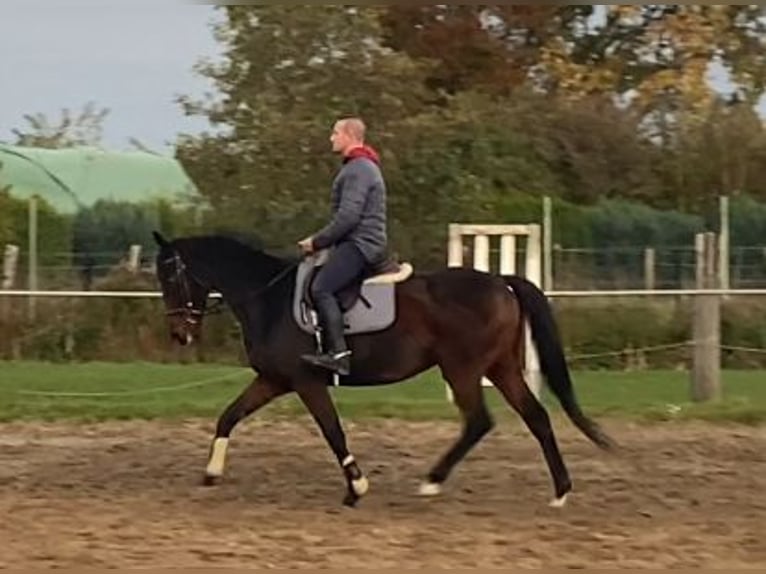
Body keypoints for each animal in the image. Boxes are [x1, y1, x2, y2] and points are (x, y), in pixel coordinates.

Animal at [153, 232, 616, 510]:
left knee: (479, 421)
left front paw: (356, 488)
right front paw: (211, 473)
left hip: (463, 370)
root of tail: (501, 282)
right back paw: (560, 492)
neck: (270, 298)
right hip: (500, 368)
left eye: (170, 276)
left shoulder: (306, 383)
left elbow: (333, 432)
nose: (179, 333)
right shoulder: (273, 380)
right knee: (535, 417)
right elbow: (228, 416)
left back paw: (432, 481)